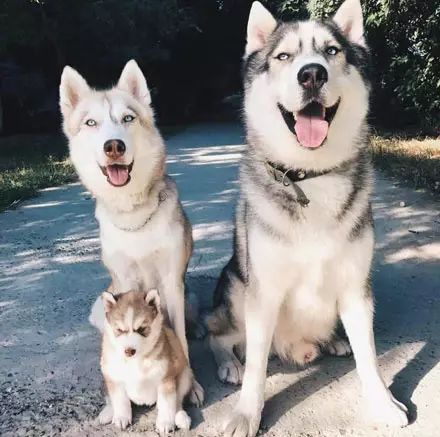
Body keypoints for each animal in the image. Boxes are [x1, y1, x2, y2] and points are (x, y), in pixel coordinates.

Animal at [58, 59, 203, 404]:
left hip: (188, 294)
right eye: (91, 122)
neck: (134, 215)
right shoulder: (123, 282)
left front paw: (189, 383)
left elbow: (179, 337)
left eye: (128, 118)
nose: (114, 146)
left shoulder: (172, 282)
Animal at [99, 290, 192, 432]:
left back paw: (181, 416)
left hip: (184, 375)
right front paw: (121, 417)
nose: (129, 350)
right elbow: (120, 400)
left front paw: (165, 422)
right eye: (119, 330)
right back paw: (108, 412)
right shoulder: (115, 378)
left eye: (141, 329)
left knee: (178, 400)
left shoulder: (165, 379)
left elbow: (167, 403)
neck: (136, 360)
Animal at [206, 1, 410, 434]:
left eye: (331, 51)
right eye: (284, 57)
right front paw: (245, 413)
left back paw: (333, 340)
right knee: (218, 333)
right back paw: (229, 362)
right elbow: (256, 370)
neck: (311, 176)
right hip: (236, 288)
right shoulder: (262, 293)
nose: (312, 73)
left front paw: (382, 403)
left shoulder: (356, 287)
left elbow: (369, 357)